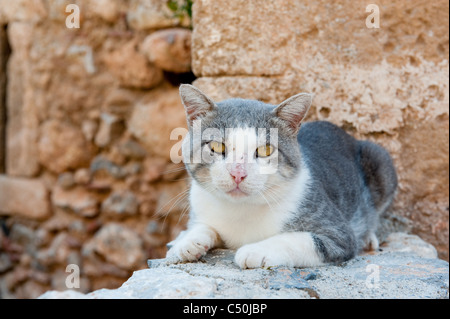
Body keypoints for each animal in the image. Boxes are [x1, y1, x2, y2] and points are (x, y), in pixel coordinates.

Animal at [166, 84, 398, 268]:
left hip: (380, 161)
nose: (238, 173)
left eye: (265, 150)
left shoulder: (339, 233)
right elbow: (202, 225)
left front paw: (255, 251)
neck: (240, 209)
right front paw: (186, 242)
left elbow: (299, 240)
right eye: (216, 146)